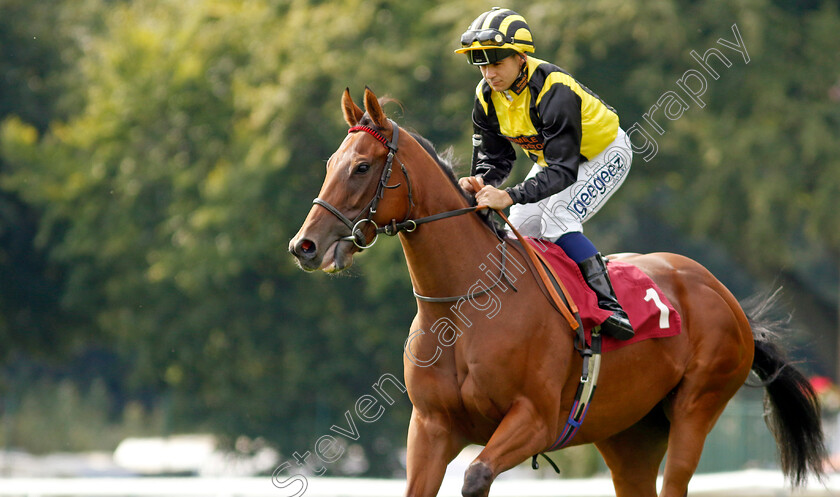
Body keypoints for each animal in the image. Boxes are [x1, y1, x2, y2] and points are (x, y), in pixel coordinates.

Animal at [290, 88, 828, 496]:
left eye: (362, 167)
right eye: (331, 163)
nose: (305, 245)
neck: (466, 305)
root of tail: (726, 299)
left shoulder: (535, 419)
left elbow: (476, 476)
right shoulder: (431, 427)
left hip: (698, 407)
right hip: (630, 435)